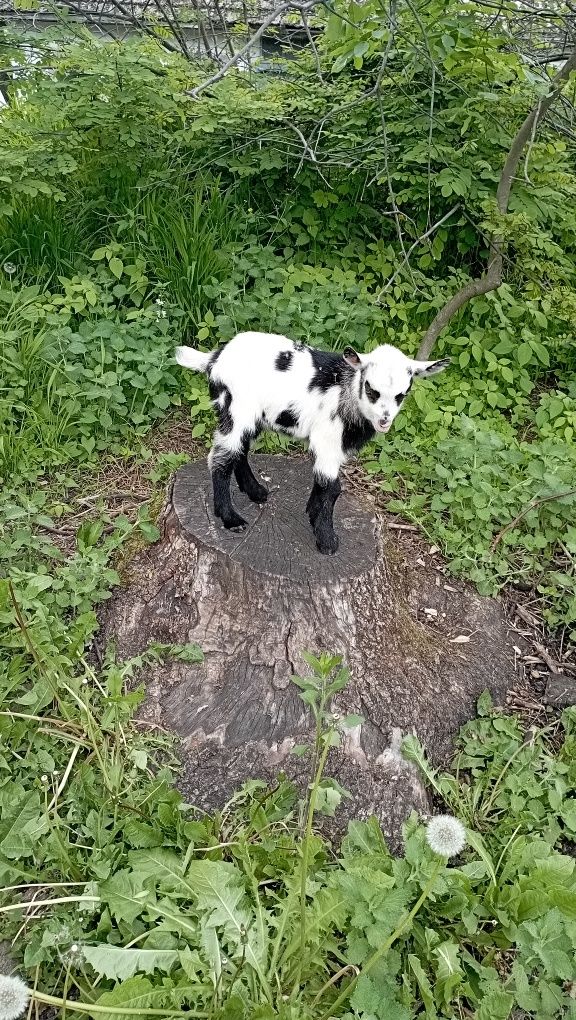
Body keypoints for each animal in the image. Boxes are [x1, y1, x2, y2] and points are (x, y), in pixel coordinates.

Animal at [175, 332, 448, 558]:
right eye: (371, 389)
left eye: (402, 394)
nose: (384, 420)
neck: (346, 392)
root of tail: (214, 358)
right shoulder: (327, 439)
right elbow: (331, 486)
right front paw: (326, 540)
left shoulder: (332, 446)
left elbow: (324, 482)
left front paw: (312, 513)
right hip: (235, 409)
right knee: (220, 458)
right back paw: (231, 518)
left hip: (252, 416)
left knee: (239, 451)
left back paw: (255, 491)